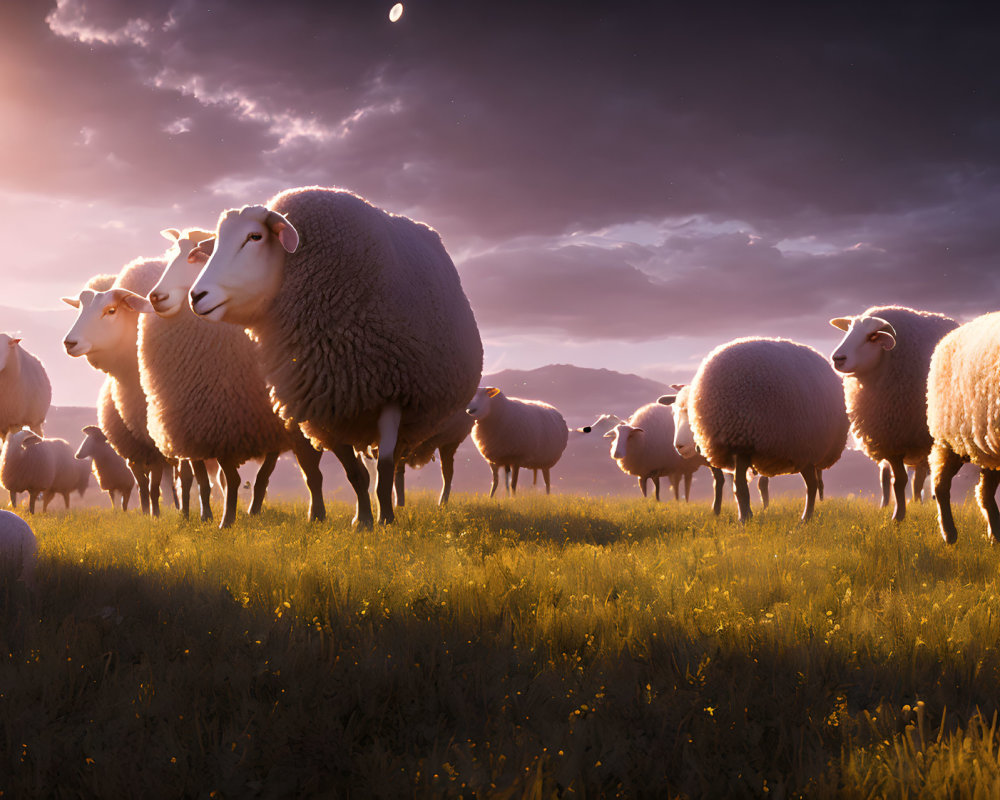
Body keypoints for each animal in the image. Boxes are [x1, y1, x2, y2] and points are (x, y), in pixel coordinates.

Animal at [119, 228, 326, 528]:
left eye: (196, 257)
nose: (156, 297)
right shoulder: (195, 425)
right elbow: (206, 481)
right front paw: (207, 517)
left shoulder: (226, 419)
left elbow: (232, 479)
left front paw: (226, 520)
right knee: (267, 471)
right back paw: (253, 510)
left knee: (307, 470)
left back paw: (315, 513)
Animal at [190, 184, 484, 528]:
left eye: (255, 237)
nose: (196, 296)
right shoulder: (326, 403)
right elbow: (354, 473)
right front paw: (365, 521)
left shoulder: (392, 394)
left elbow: (385, 467)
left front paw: (385, 520)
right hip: (350, 408)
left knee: (393, 462)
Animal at [660, 338, 848, 524]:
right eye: (674, 413)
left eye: (690, 413)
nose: (679, 446)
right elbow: (733, 486)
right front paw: (739, 514)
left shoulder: (743, 443)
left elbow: (740, 487)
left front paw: (744, 519)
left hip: (808, 449)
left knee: (812, 485)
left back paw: (805, 519)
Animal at [828, 304, 960, 520]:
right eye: (848, 330)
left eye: (872, 337)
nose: (837, 358)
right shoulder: (889, 441)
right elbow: (897, 481)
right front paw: (898, 516)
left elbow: (913, 480)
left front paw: (904, 512)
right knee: (885, 476)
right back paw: (886, 504)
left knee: (919, 476)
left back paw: (918, 502)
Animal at [924, 312, 1000, 544]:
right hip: (949, 438)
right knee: (940, 484)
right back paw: (949, 533)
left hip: (987, 446)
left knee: (984, 493)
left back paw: (995, 535)